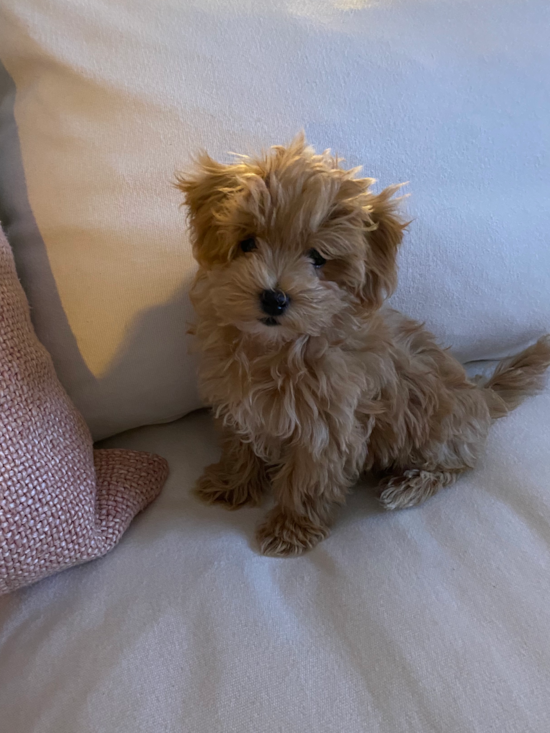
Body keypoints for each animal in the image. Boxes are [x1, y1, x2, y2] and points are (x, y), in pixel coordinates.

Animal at [178, 134, 550, 556]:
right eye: (247, 243)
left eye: (318, 258)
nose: (274, 298)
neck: (277, 347)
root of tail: (481, 396)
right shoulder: (238, 401)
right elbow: (241, 445)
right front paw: (232, 484)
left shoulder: (329, 424)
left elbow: (308, 479)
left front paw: (290, 528)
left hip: (439, 426)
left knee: (456, 465)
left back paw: (406, 487)